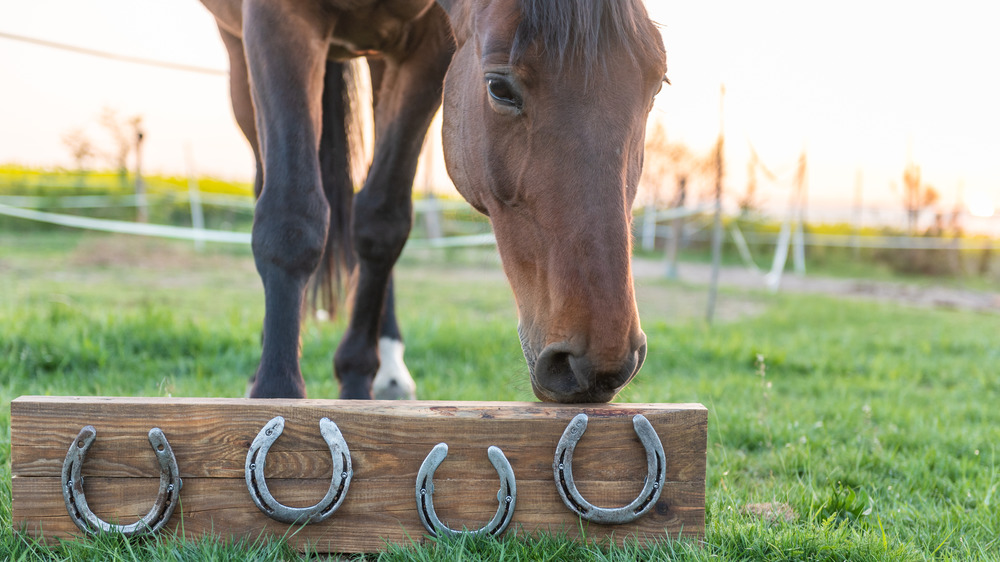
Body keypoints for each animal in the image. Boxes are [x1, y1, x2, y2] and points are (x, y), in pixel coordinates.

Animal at [199, 0, 668, 402]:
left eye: (657, 84)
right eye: (499, 88)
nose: (600, 363)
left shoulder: (429, 48)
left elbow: (381, 224)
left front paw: (356, 384)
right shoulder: (277, 21)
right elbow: (290, 216)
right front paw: (276, 393)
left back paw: (386, 370)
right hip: (240, 54)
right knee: (267, 177)